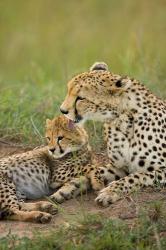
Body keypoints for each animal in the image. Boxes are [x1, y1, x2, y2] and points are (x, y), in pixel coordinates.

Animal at [60, 61, 166, 206]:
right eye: (68, 90)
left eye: (81, 98)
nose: (62, 110)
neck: (123, 121)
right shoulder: (119, 167)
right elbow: (96, 170)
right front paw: (69, 187)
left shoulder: (162, 169)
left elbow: (136, 176)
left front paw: (110, 192)